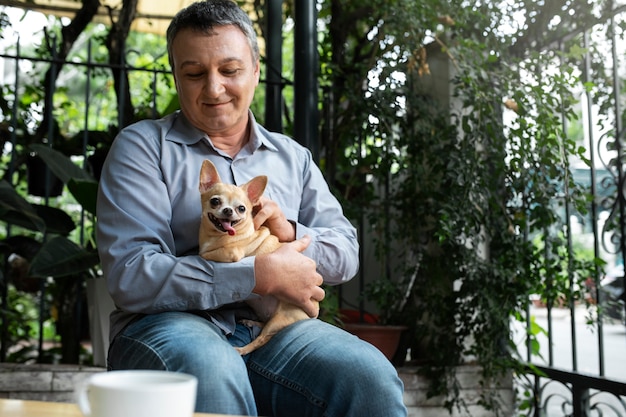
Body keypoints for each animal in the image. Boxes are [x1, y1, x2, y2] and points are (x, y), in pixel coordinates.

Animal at [199, 159, 314, 354]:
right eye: (215, 201)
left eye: (241, 208)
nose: (228, 211)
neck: (215, 236)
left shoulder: (231, 253)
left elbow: (205, 254)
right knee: (264, 325)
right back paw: (251, 321)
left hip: (281, 319)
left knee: (261, 339)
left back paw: (242, 349)